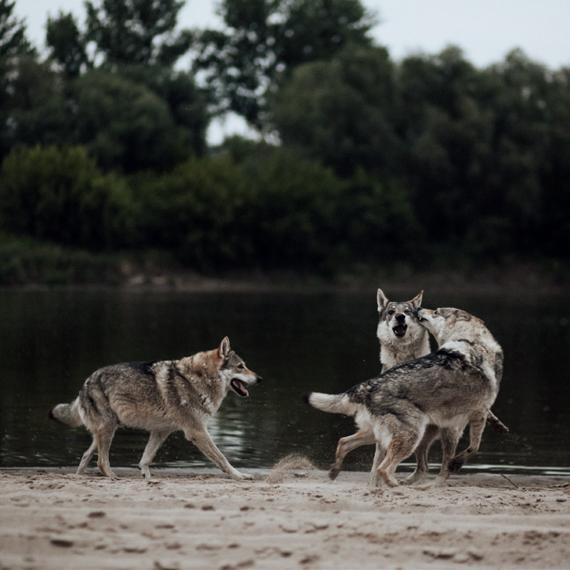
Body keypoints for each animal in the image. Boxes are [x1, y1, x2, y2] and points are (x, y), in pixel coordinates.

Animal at [50, 336, 260, 478]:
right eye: (241, 366)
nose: (259, 378)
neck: (199, 379)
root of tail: (86, 382)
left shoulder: (161, 431)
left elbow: (145, 460)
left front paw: (147, 478)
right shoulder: (197, 432)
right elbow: (222, 458)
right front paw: (239, 475)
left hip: (106, 431)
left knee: (85, 456)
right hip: (108, 429)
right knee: (101, 462)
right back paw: (113, 477)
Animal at [306, 304, 502, 486]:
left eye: (436, 311)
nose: (418, 308)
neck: (472, 341)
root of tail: (367, 385)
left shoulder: (453, 424)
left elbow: (443, 462)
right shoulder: (470, 418)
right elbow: (472, 448)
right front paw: (452, 468)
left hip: (381, 434)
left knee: (344, 443)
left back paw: (335, 472)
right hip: (412, 434)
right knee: (384, 469)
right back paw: (396, 485)